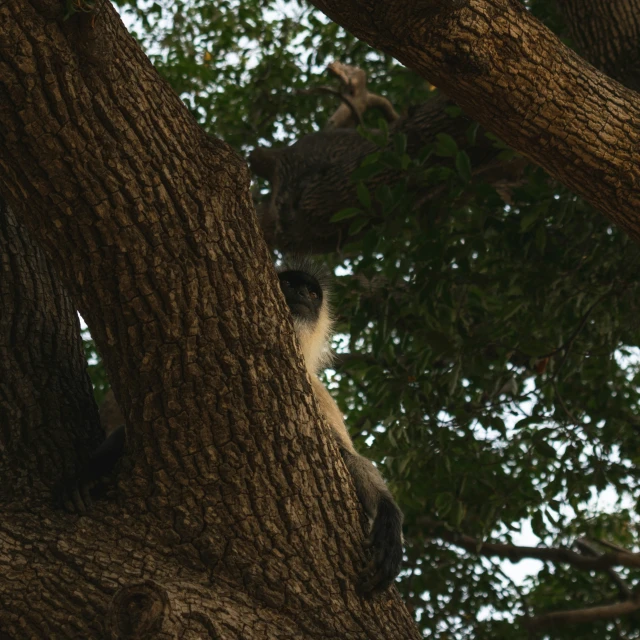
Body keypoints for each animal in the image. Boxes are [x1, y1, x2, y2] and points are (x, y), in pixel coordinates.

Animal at [61, 258, 400, 596]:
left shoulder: (318, 392)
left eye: (313, 293)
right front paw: (93, 471)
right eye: (290, 284)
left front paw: (387, 515)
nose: (303, 293)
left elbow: (348, 458)